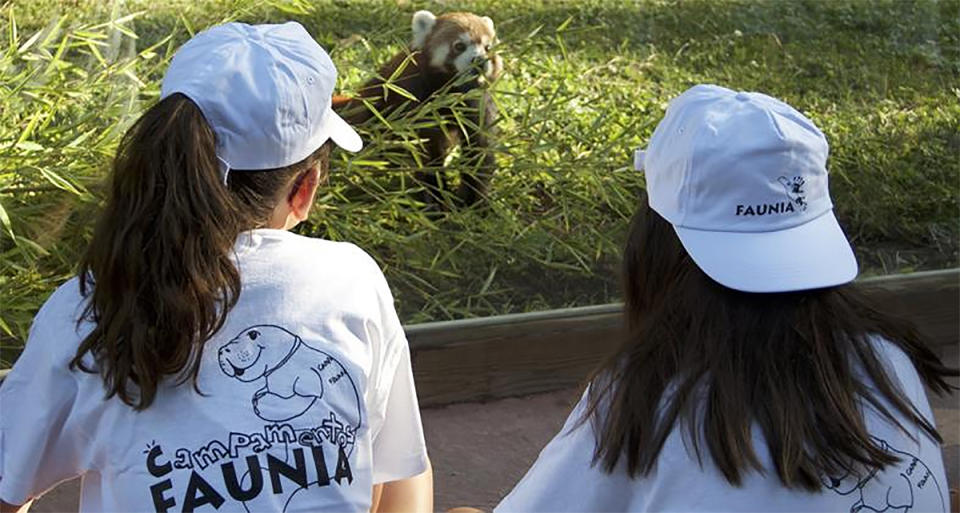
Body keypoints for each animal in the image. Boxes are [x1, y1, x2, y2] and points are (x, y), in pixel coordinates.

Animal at [334, 10, 502, 206]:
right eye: (459, 46)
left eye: (488, 47)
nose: (480, 60)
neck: (448, 90)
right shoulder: (413, 97)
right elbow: (425, 151)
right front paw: (435, 198)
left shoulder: (475, 102)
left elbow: (480, 150)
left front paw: (475, 201)